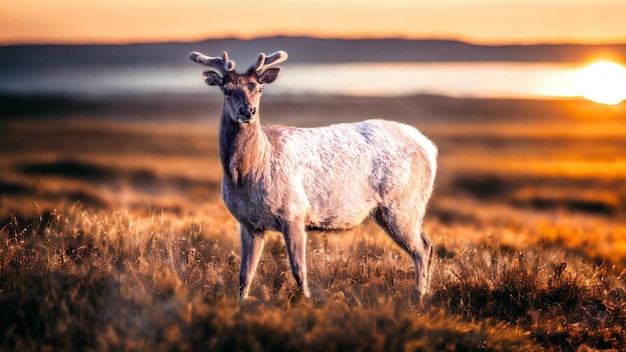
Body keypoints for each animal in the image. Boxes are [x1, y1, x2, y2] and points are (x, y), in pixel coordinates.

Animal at [188, 50, 436, 302]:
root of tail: (428, 146)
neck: (248, 174)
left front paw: (306, 300)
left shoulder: (293, 212)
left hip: (403, 203)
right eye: (226, 89)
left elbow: (298, 268)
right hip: (394, 210)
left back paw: (419, 295)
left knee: (421, 248)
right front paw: (242, 303)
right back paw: (424, 292)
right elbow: (244, 274)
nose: (247, 112)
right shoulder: (248, 222)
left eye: (259, 88)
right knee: (427, 243)